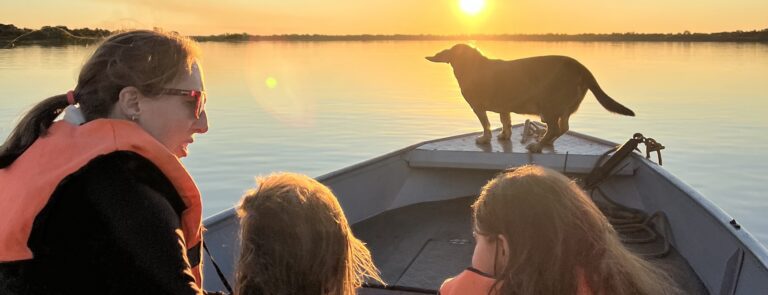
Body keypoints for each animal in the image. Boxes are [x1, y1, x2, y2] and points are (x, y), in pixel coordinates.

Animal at [424, 44, 632, 153]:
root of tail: (580, 68)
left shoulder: (478, 108)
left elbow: (486, 125)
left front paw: (485, 138)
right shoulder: (504, 107)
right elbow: (505, 122)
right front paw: (504, 136)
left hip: (548, 108)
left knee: (554, 128)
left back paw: (538, 145)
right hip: (564, 109)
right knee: (563, 128)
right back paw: (547, 142)